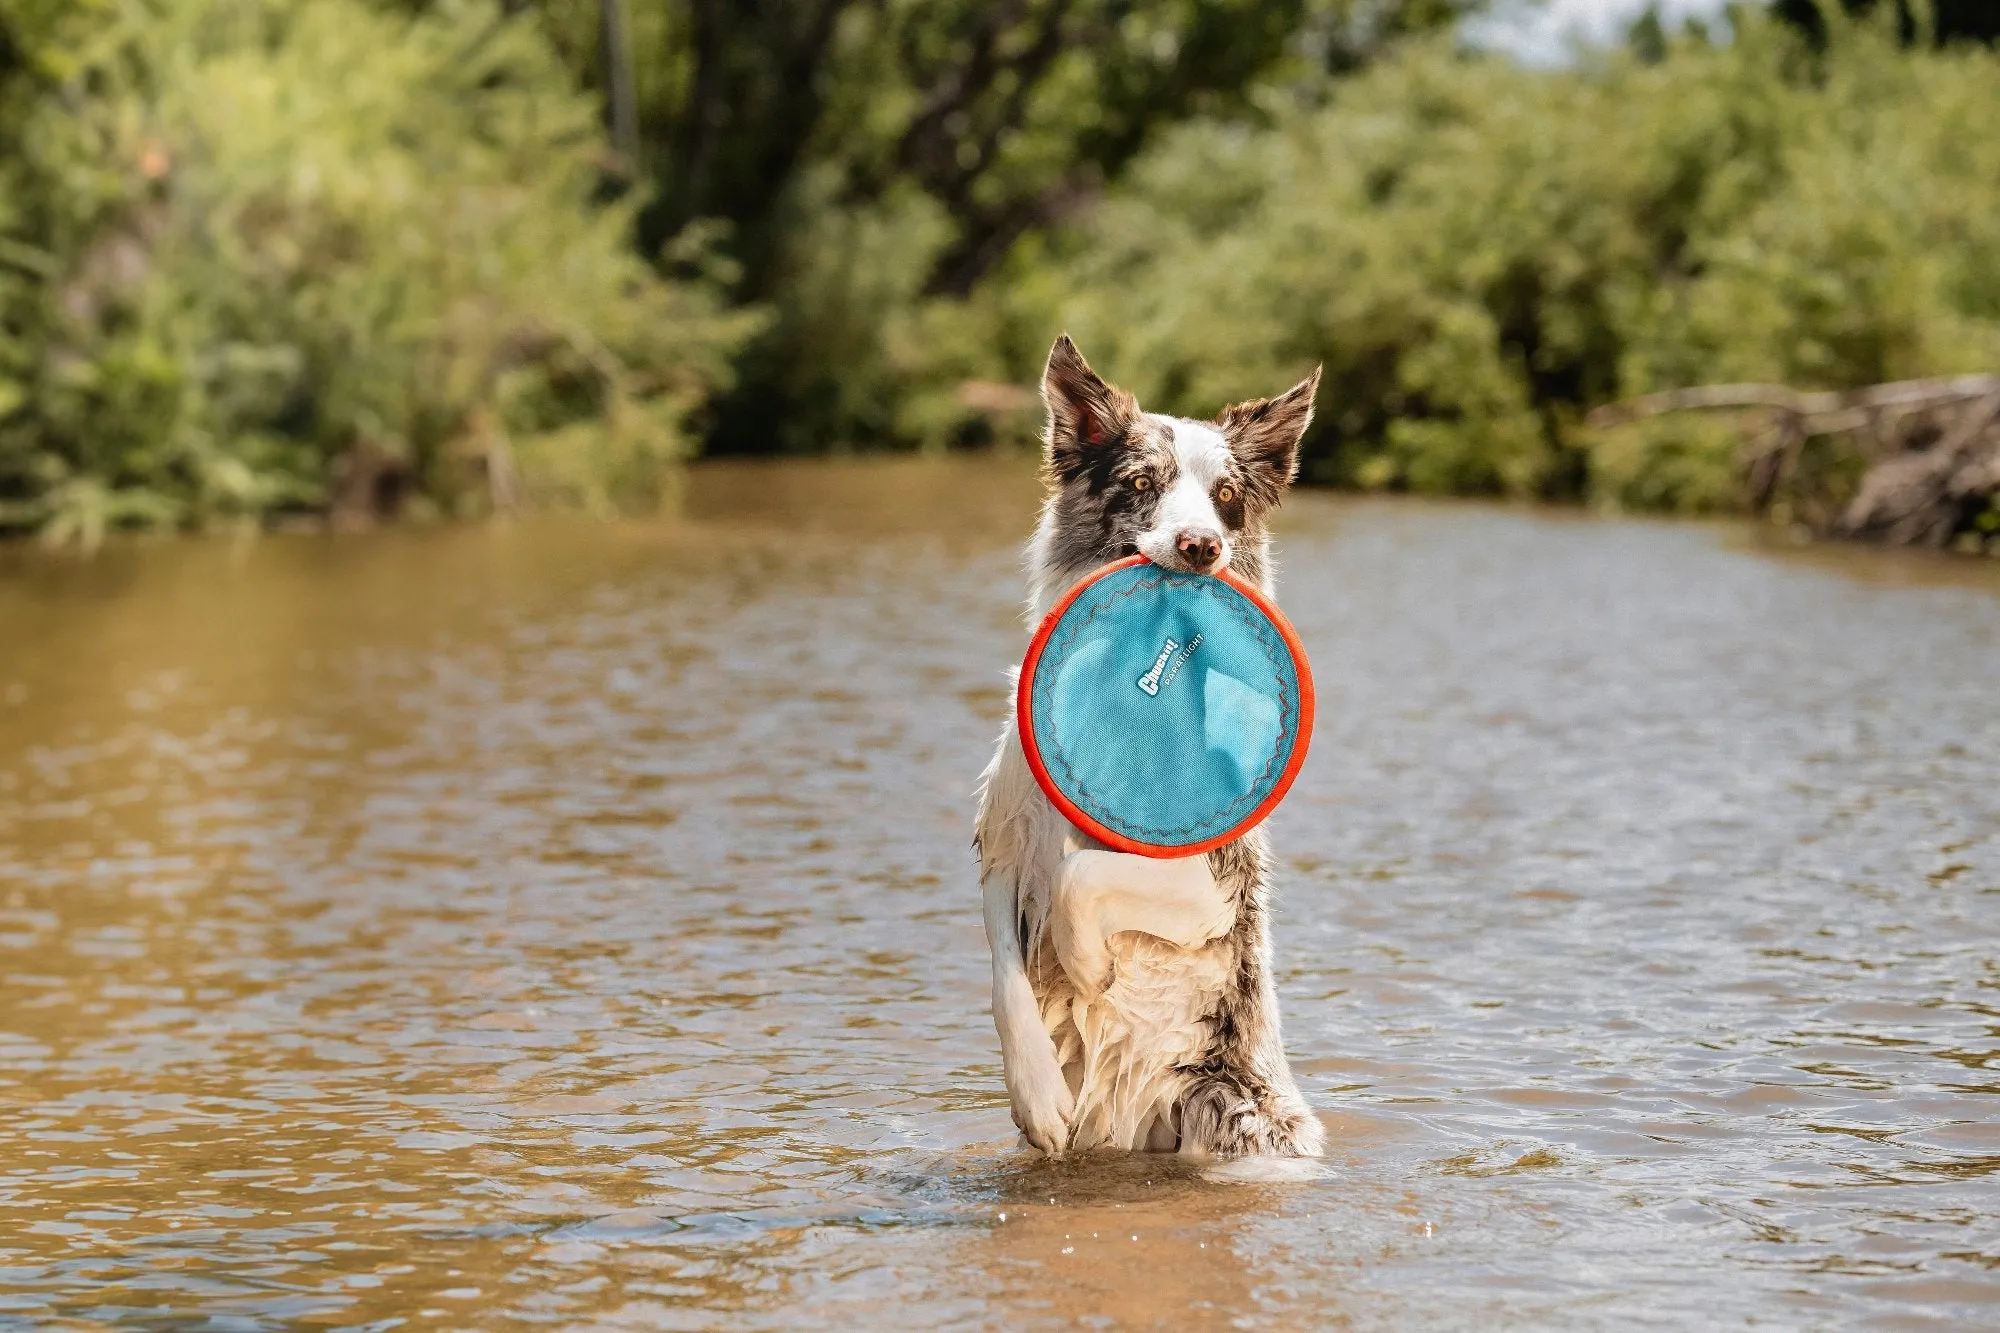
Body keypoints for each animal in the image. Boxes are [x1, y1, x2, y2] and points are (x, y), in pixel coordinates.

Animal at [972, 332, 1328, 1152]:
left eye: (1227, 497)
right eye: (1141, 482)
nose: (1200, 546)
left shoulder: (1209, 892)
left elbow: (1084, 876)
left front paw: (1086, 963)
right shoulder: (1005, 846)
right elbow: (1004, 966)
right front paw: (1037, 1092)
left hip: (1233, 1118)